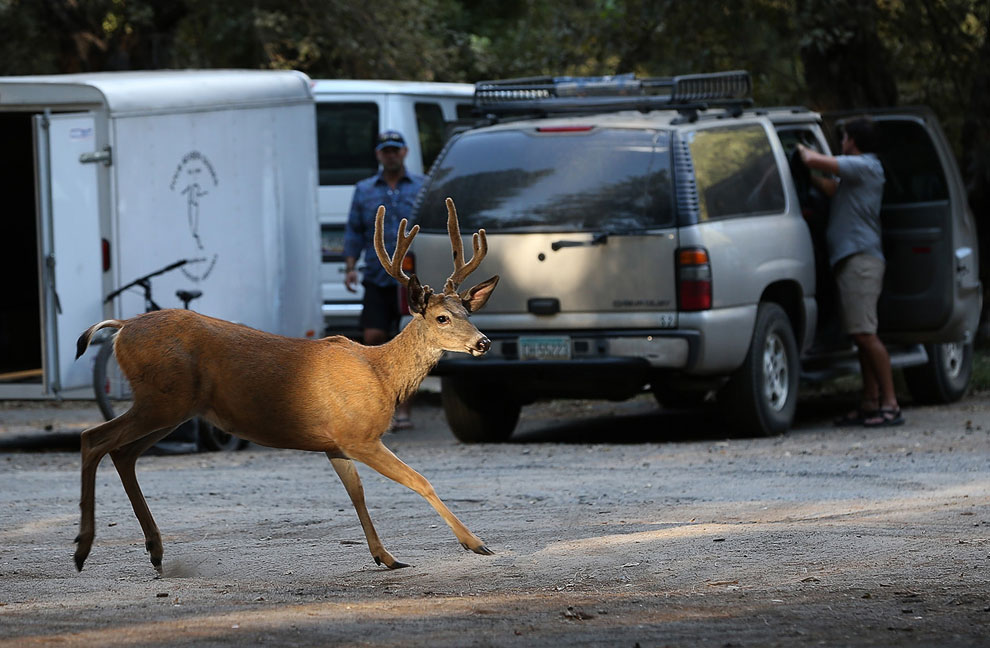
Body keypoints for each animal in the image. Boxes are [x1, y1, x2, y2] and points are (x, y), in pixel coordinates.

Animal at [73, 197, 500, 572]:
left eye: (468, 312)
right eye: (442, 317)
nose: (483, 342)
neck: (381, 374)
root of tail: (122, 328)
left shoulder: (334, 443)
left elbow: (357, 494)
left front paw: (386, 557)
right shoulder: (358, 435)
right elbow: (419, 480)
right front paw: (475, 543)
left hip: (173, 407)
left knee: (123, 453)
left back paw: (155, 550)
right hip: (162, 399)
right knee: (94, 438)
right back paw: (82, 548)